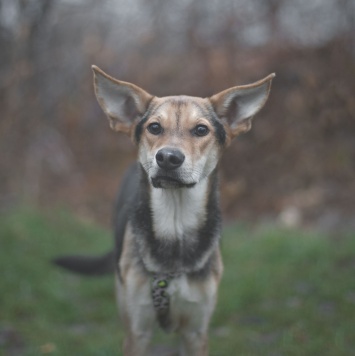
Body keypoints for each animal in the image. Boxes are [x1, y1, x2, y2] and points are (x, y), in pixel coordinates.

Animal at [55, 65, 276, 354]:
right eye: (155, 127)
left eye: (201, 129)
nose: (168, 158)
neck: (175, 224)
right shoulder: (136, 331)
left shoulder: (195, 330)